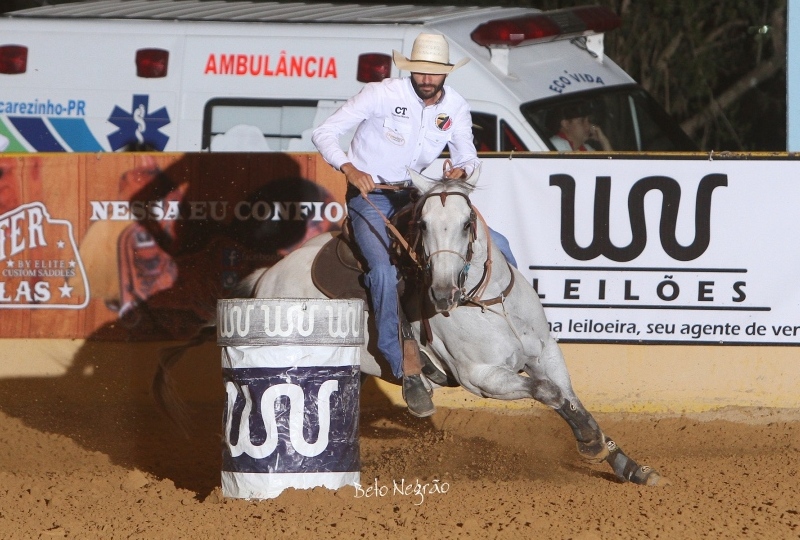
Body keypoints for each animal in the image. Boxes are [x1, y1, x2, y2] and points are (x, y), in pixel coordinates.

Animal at [154, 167, 668, 486]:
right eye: (422, 224)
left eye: (466, 223)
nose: (441, 295)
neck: (489, 304)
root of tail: (266, 275)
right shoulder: (483, 378)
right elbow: (549, 393)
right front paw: (591, 443)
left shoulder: (546, 352)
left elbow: (569, 395)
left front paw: (624, 462)